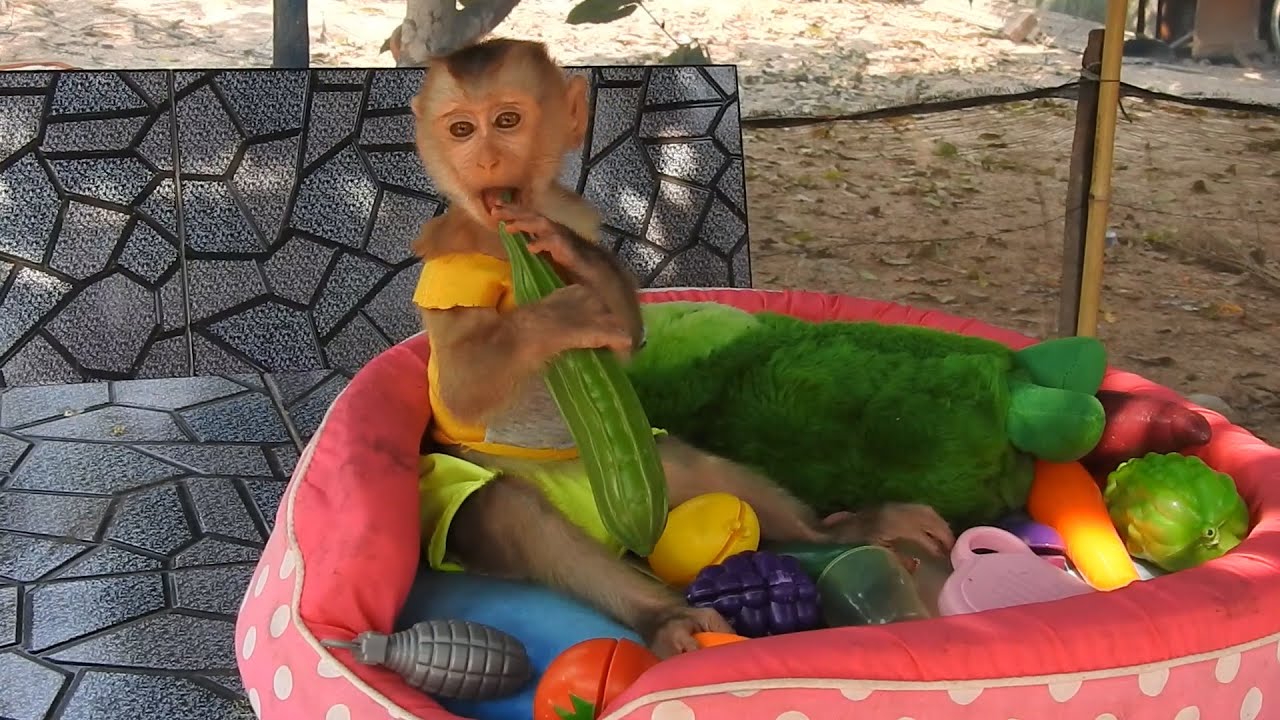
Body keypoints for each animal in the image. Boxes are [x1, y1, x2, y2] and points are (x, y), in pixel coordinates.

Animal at [407, 37, 956, 659]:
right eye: (461, 130)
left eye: (506, 121)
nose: (485, 162)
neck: (501, 236)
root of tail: (611, 531)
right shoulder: (451, 260)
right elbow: (461, 387)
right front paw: (557, 314)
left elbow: (622, 340)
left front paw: (572, 254)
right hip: (479, 495)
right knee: (512, 513)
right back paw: (666, 617)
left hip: (649, 471)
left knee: (692, 468)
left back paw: (846, 530)